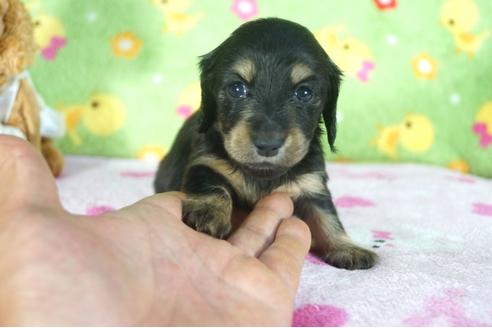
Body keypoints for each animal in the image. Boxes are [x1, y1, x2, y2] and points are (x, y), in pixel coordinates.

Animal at [154, 17, 376, 270]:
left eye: (304, 93)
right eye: (237, 88)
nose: (268, 144)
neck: (262, 174)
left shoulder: (311, 184)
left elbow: (327, 216)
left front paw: (348, 248)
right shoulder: (206, 163)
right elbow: (212, 184)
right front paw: (208, 212)